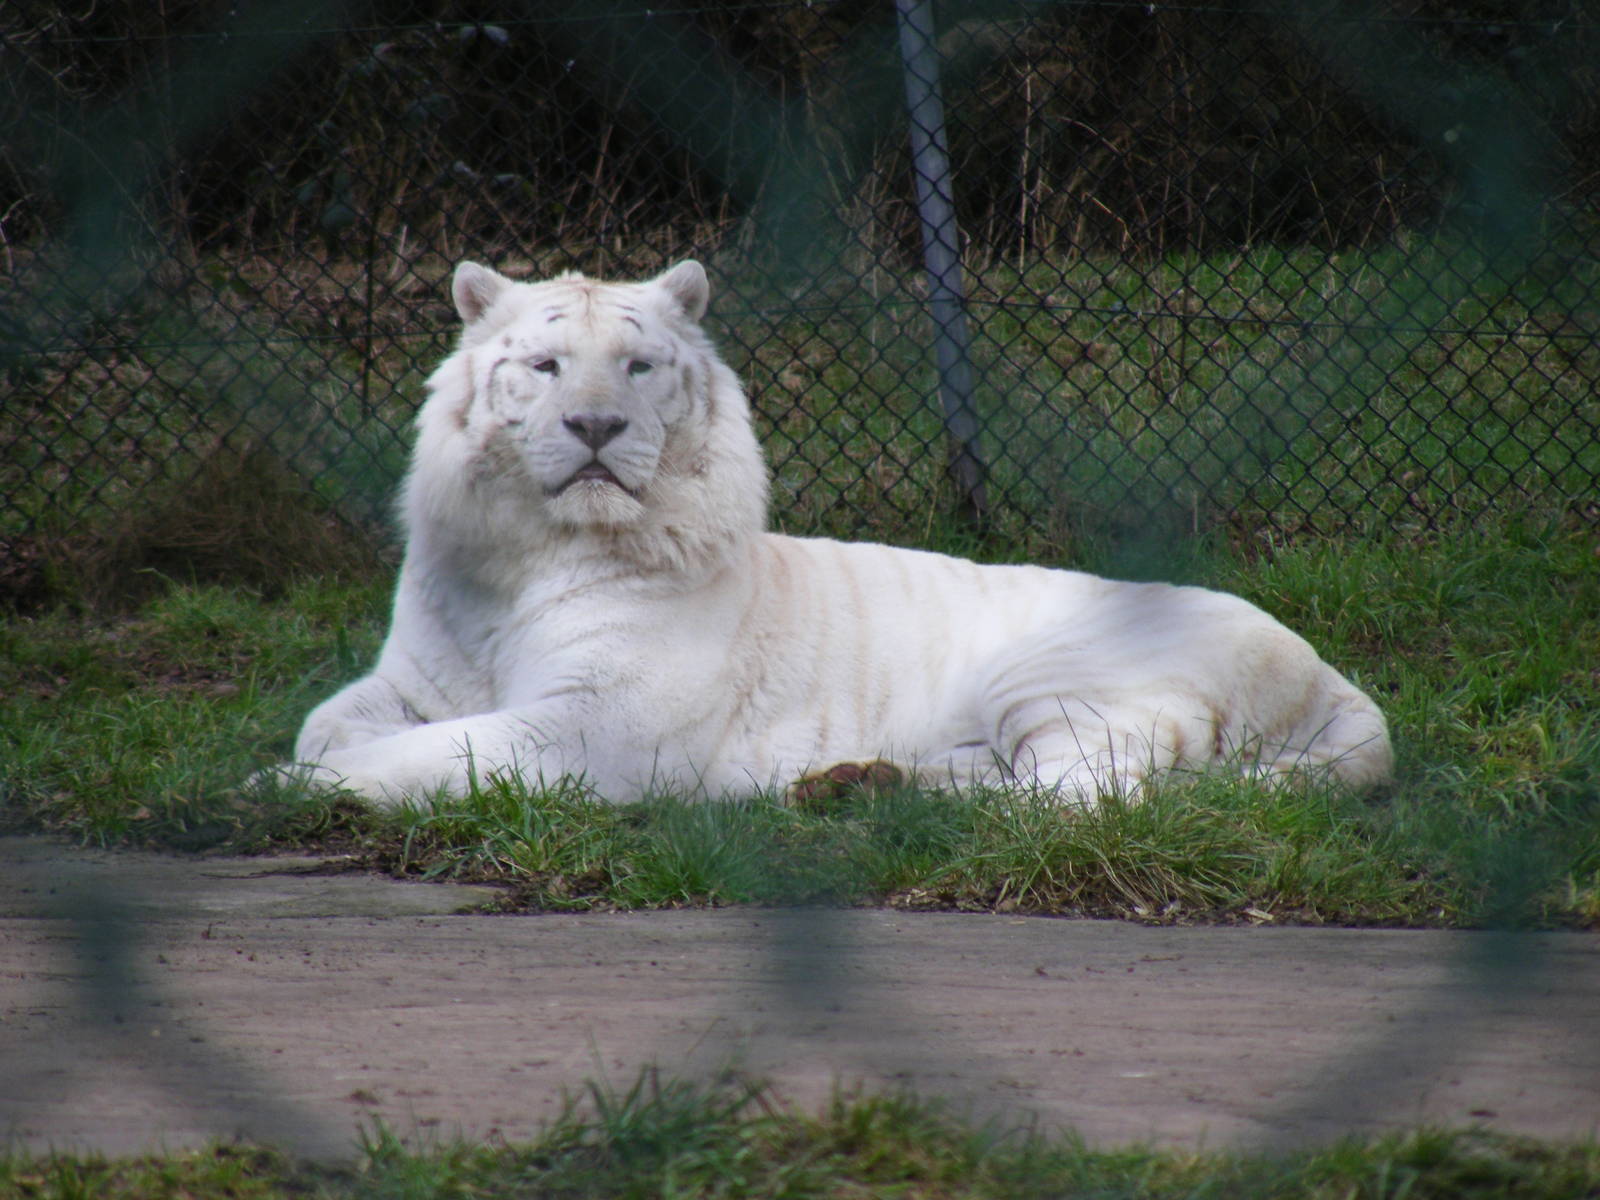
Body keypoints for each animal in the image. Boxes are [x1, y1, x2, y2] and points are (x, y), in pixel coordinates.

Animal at [282, 259, 1392, 806]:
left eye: (637, 367)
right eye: (547, 368)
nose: (596, 426)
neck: (526, 555)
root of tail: (1330, 676)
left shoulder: (591, 723)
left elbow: (428, 756)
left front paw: (287, 788)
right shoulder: (416, 678)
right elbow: (330, 723)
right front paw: (304, 763)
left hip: (1050, 678)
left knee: (1089, 798)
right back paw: (858, 782)